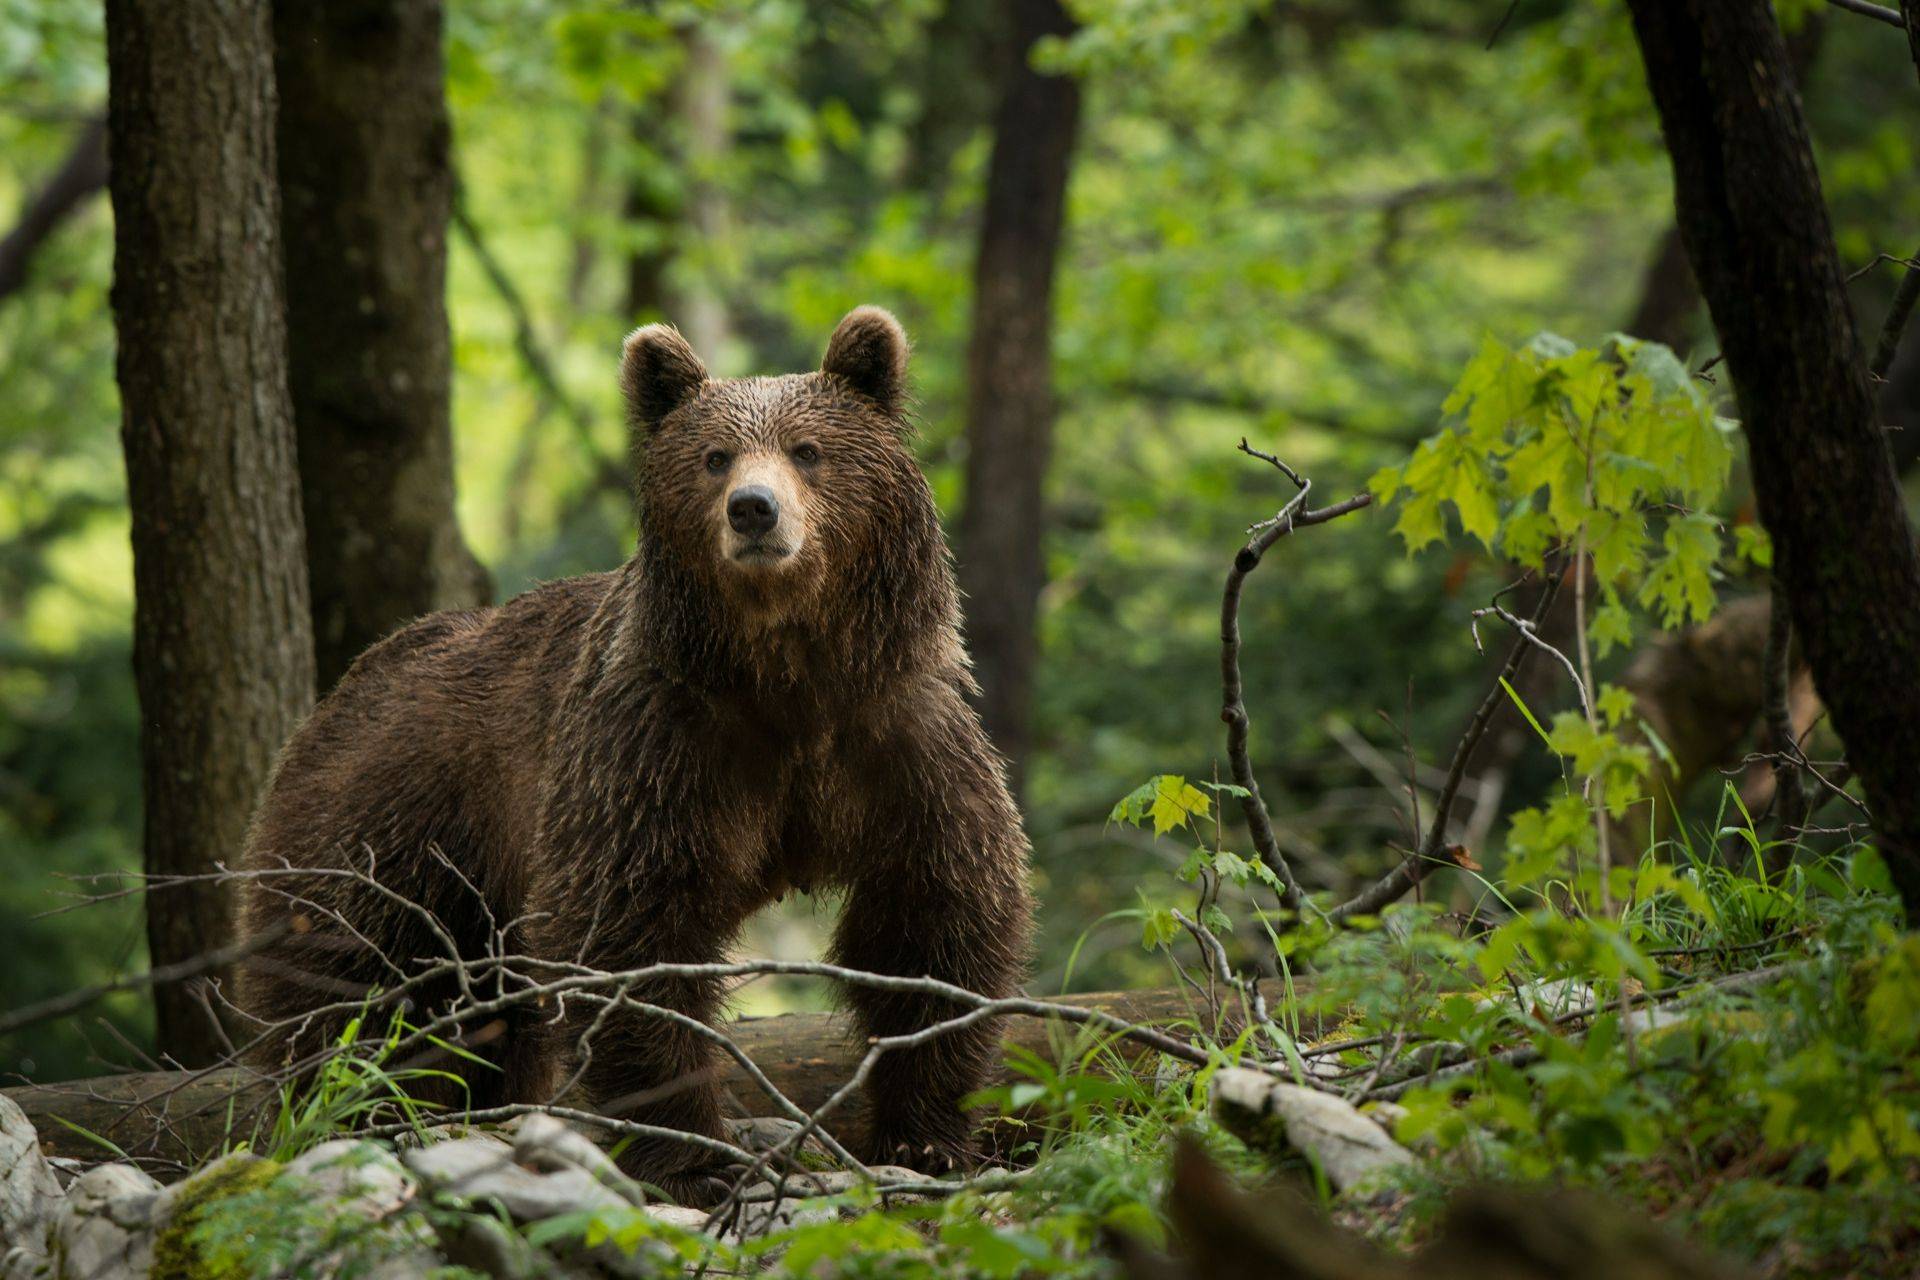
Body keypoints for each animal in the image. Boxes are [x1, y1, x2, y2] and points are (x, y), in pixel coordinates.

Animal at [236, 307, 1036, 1205]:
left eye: (808, 449)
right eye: (714, 456)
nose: (754, 510)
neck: (790, 678)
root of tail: (341, 689)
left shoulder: (900, 739)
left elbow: (933, 918)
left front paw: (929, 1138)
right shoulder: (657, 746)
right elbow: (633, 930)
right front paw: (695, 1159)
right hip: (391, 828)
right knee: (358, 983)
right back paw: (354, 1108)